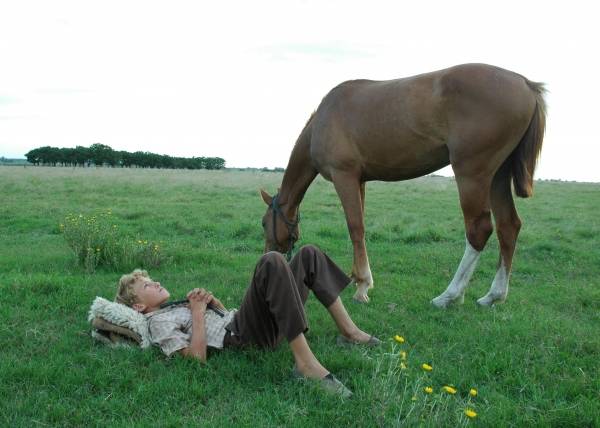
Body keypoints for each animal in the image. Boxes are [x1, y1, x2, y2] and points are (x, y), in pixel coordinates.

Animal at [260, 62, 548, 308]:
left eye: (264, 223)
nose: (267, 257)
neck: (324, 118)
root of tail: (525, 84)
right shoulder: (359, 181)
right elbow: (359, 227)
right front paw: (358, 280)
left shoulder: (344, 177)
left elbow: (355, 228)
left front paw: (362, 286)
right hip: (498, 176)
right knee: (508, 227)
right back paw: (493, 296)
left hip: (473, 174)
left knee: (479, 230)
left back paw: (449, 296)